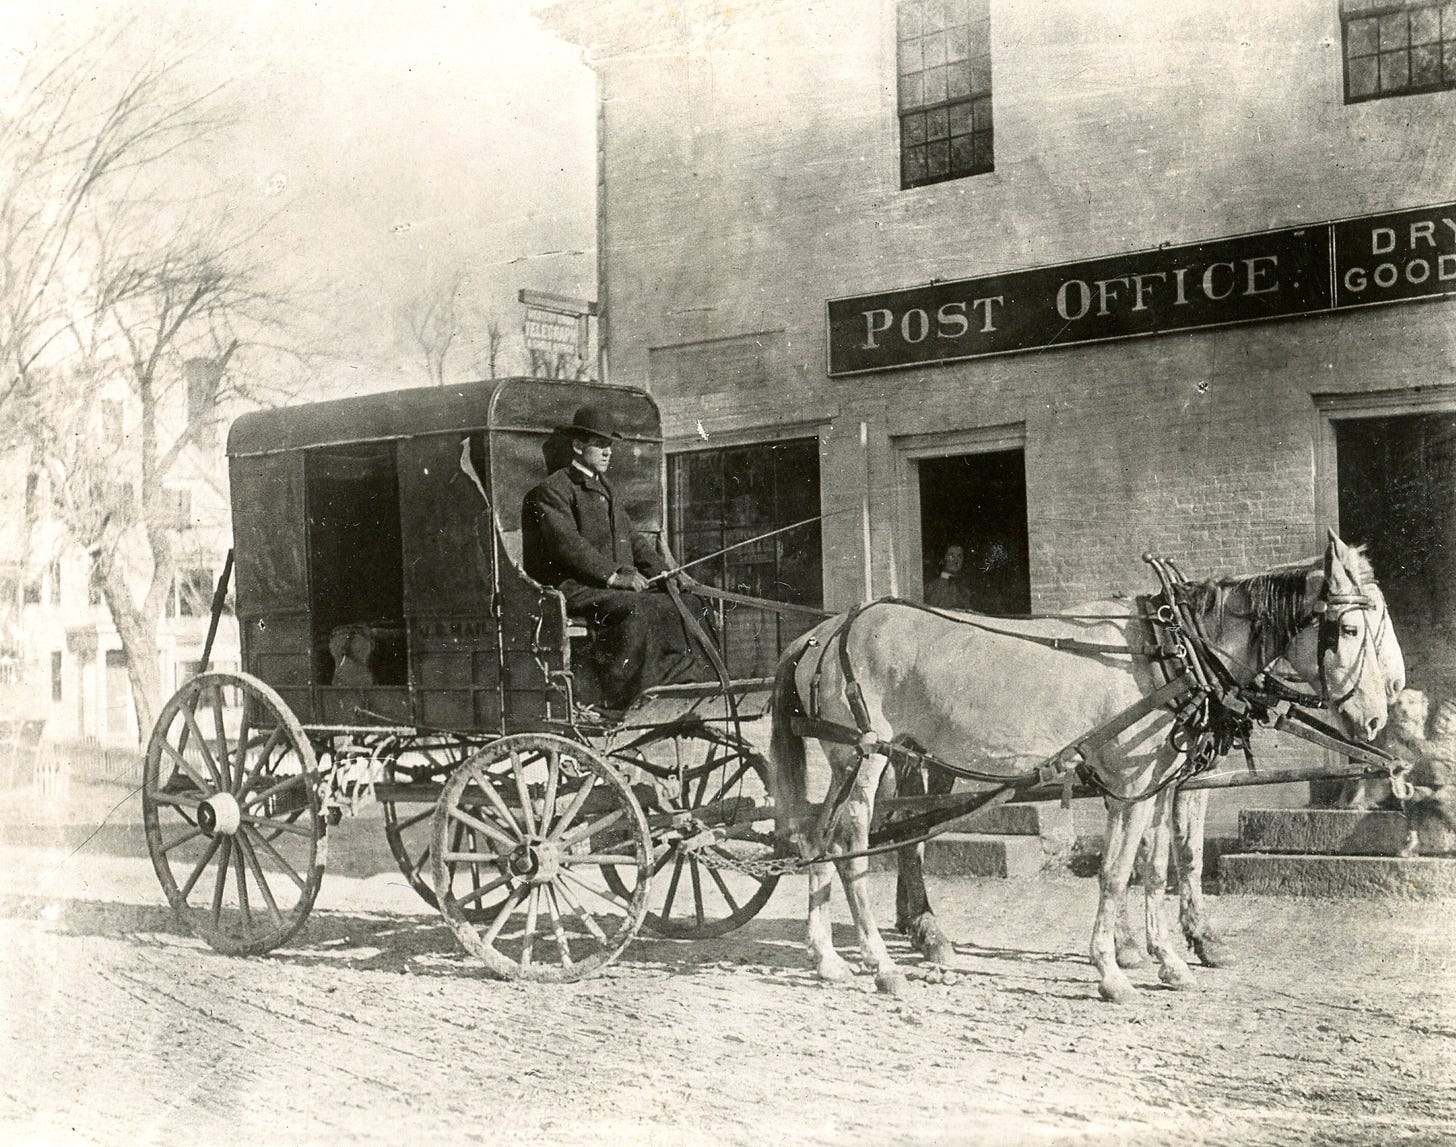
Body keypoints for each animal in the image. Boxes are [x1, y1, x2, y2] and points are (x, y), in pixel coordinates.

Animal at [774, 532, 1397, 1001]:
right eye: (1349, 629)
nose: (1376, 715)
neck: (1173, 648)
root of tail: (823, 633)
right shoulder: (1131, 786)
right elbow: (1117, 874)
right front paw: (1112, 970)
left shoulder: (1155, 785)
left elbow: (1156, 871)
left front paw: (1169, 961)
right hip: (865, 754)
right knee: (851, 846)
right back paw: (883, 964)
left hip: (848, 763)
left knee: (817, 839)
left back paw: (828, 958)